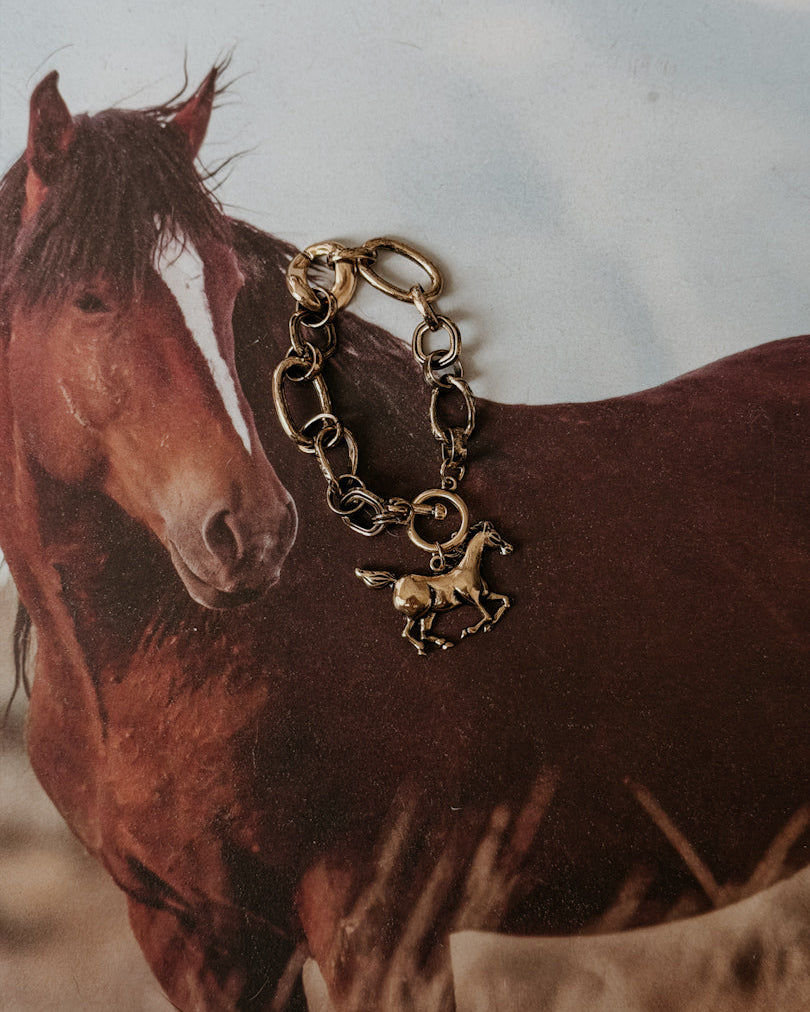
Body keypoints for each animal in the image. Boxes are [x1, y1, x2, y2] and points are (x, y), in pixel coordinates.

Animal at [355, 522, 513, 653]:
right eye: (494, 536)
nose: (509, 548)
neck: (468, 569)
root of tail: (395, 582)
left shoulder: (485, 595)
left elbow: (505, 601)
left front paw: (490, 625)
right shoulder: (472, 598)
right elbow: (487, 615)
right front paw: (468, 630)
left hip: (429, 613)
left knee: (424, 634)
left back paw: (444, 642)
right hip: (417, 612)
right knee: (406, 633)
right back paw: (422, 648)